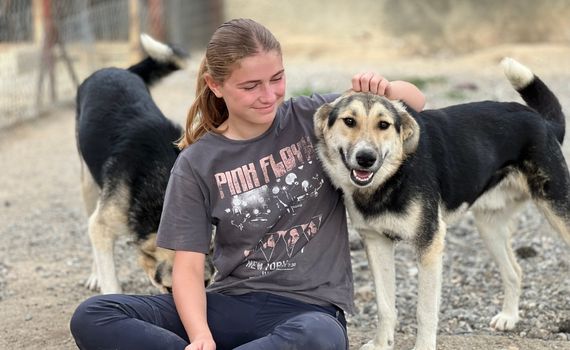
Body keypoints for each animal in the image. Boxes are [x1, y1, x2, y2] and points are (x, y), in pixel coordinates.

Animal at [76, 34, 206, 292]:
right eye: (169, 288)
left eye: (207, 282)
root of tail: (115, 69)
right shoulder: (102, 225)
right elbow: (110, 281)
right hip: (88, 187)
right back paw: (95, 275)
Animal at [312, 57, 564, 350]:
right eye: (349, 121)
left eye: (384, 125)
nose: (366, 158)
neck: (393, 176)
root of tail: (542, 121)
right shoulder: (376, 241)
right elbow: (385, 305)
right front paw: (381, 344)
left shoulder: (429, 243)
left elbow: (425, 310)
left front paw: (422, 346)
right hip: (489, 226)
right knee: (515, 271)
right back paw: (509, 317)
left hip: (557, 208)